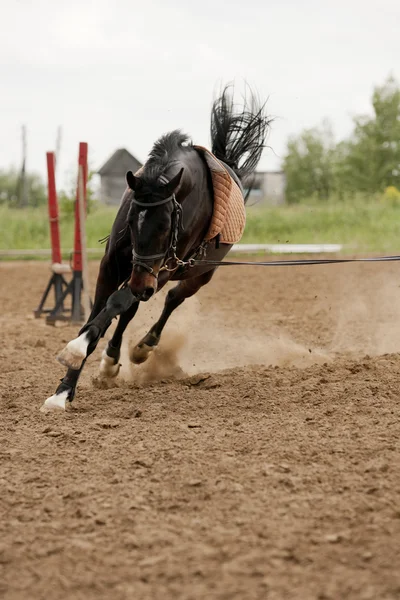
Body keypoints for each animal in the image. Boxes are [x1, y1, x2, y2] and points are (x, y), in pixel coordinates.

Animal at [42, 85, 270, 412]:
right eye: (131, 222)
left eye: (165, 226)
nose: (142, 283)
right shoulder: (113, 266)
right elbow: (99, 313)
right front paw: (63, 391)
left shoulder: (162, 269)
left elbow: (117, 304)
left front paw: (76, 352)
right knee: (131, 308)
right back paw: (111, 361)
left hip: (200, 273)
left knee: (171, 298)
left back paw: (142, 347)